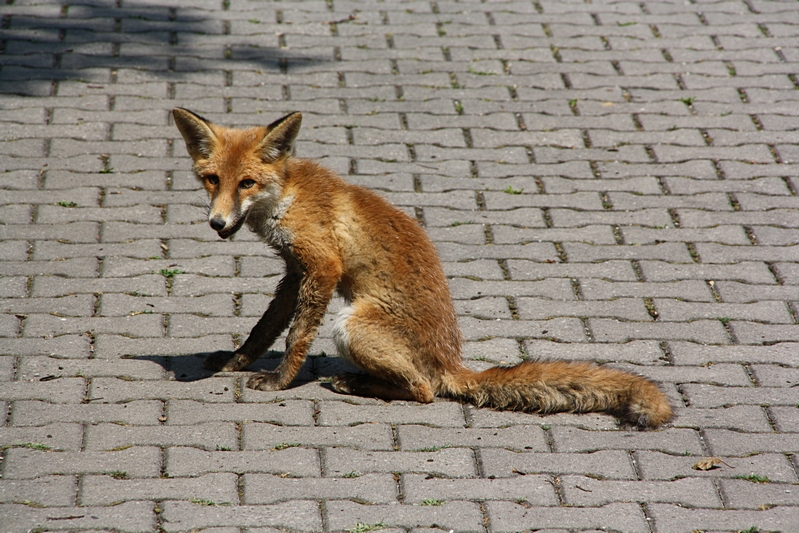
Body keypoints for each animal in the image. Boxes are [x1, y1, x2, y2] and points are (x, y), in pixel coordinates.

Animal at [175, 108, 676, 428]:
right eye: (212, 180)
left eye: (247, 183)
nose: (217, 223)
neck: (287, 197)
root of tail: (450, 361)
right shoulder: (294, 272)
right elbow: (263, 330)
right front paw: (234, 362)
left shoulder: (322, 267)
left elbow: (296, 337)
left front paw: (281, 382)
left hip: (351, 324)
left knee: (425, 390)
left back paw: (354, 383)